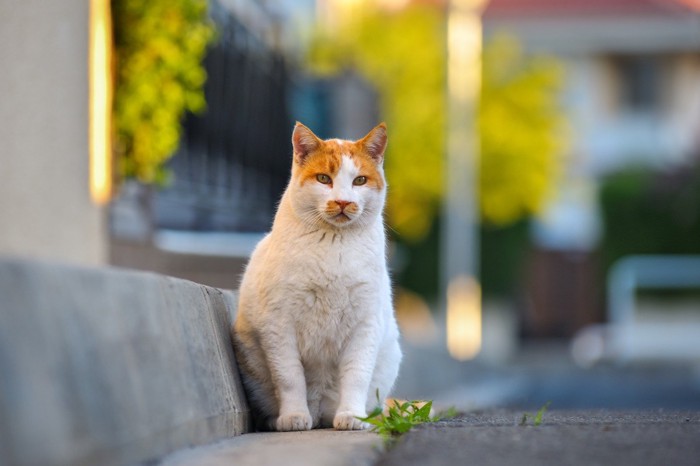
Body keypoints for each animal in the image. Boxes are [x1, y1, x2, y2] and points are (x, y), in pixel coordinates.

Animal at [232, 122, 402, 432]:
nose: (343, 202)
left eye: (360, 180)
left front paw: (352, 416)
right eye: (324, 178)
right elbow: (289, 377)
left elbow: (357, 375)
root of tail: (321, 412)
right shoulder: (279, 325)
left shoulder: (366, 324)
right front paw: (293, 417)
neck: (334, 245)